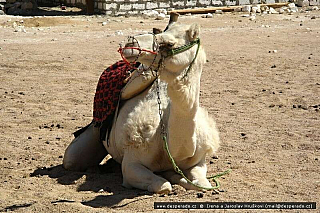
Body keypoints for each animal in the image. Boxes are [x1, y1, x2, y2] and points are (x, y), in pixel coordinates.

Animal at [64, 14, 221, 194]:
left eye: (169, 44)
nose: (129, 45)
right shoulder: (131, 163)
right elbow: (163, 186)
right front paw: (170, 178)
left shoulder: (199, 162)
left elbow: (202, 184)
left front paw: (177, 176)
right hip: (93, 133)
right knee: (72, 159)